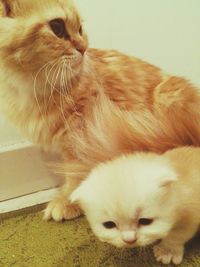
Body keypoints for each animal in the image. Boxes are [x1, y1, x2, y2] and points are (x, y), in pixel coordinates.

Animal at [0, 0, 200, 222]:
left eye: (80, 28)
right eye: (57, 27)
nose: (83, 48)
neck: (33, 89)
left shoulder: (83, 134)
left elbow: (75, 173)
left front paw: (69, 200)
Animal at [70, 147, 200, 266]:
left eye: (145, 221)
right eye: (109, 225)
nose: (129, 240)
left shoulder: (191, 212)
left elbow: (177, 234)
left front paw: (168, 251)